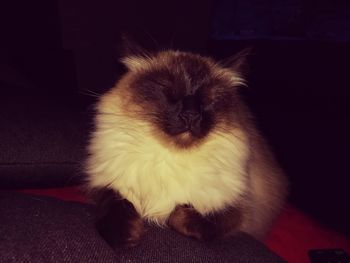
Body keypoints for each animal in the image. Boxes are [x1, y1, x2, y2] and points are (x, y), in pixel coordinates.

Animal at [84, 41, 288, 250]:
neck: (170, 157)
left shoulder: (239, 210)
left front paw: (173, 214)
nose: (191, 115)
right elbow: (114, 204)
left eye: (209, 100)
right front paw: (126, 238)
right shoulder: (106, 183)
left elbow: (182, 217)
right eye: (168, 91)